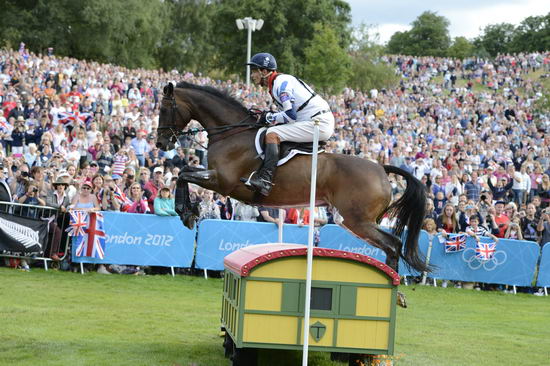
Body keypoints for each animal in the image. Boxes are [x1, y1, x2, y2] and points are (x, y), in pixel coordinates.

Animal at [156, 81, 432, 274]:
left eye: (165, 108)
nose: (160, 143)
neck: (231, 133)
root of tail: (381, 170)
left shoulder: (222, 182)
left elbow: (183, 175)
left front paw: (186, 211)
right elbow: (183, 173)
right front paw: (189, 210)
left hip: (357, 220)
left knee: (393, 244)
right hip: (352, 221)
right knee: (392, 244)